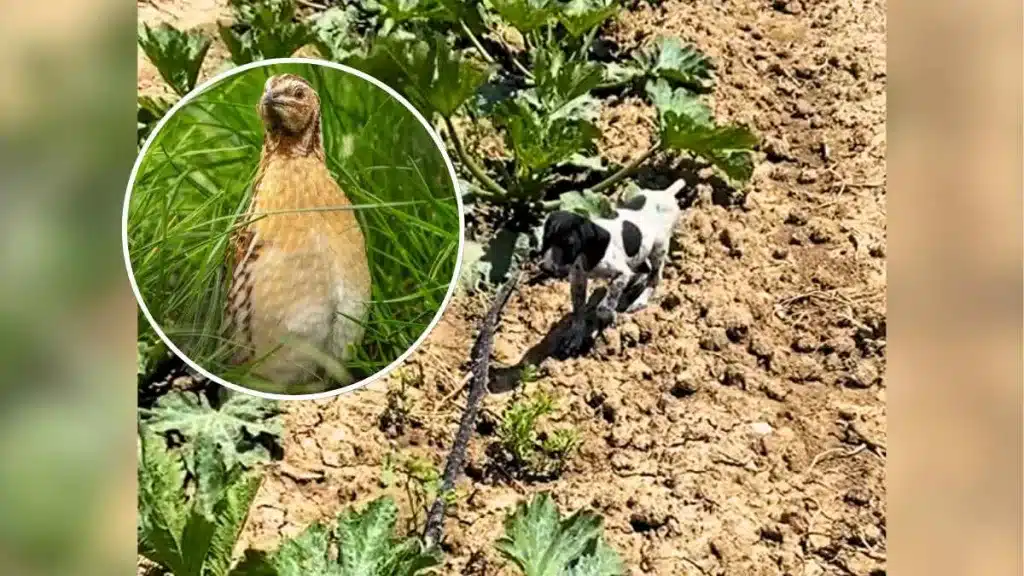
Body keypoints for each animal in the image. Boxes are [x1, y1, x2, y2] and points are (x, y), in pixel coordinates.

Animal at [536, 179, 688, 338]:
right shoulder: (578, 279)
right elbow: (578, 309)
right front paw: (576, 332)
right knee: (644, 270)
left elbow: (604, 306)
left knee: (655, 277)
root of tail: (667, 193)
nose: (545, 267)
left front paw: (610, 316)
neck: (588, 254)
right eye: (546, 239)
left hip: (658, 248)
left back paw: (640, 300)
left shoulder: (621, 273)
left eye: (569, 244)